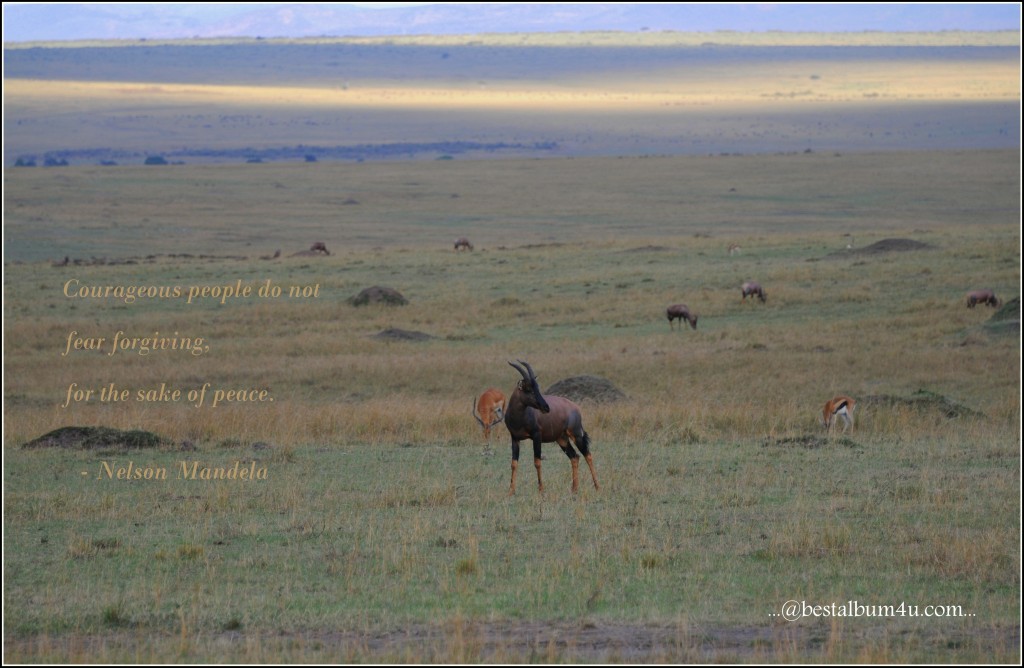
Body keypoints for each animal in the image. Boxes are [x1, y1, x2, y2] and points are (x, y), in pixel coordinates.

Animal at [505, 360, 598, 495]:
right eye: (529, 389)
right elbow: (514, 463)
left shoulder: (537, 436)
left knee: (588, 455)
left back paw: (597, 487)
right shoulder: (515, 438)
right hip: (562, 439)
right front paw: (511, 491)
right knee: (574, 456)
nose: (546, 407)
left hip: (576, 435)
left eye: (537, 388)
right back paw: (574, 489)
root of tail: (575, 407)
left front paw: (541, 490)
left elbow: (537, 462)